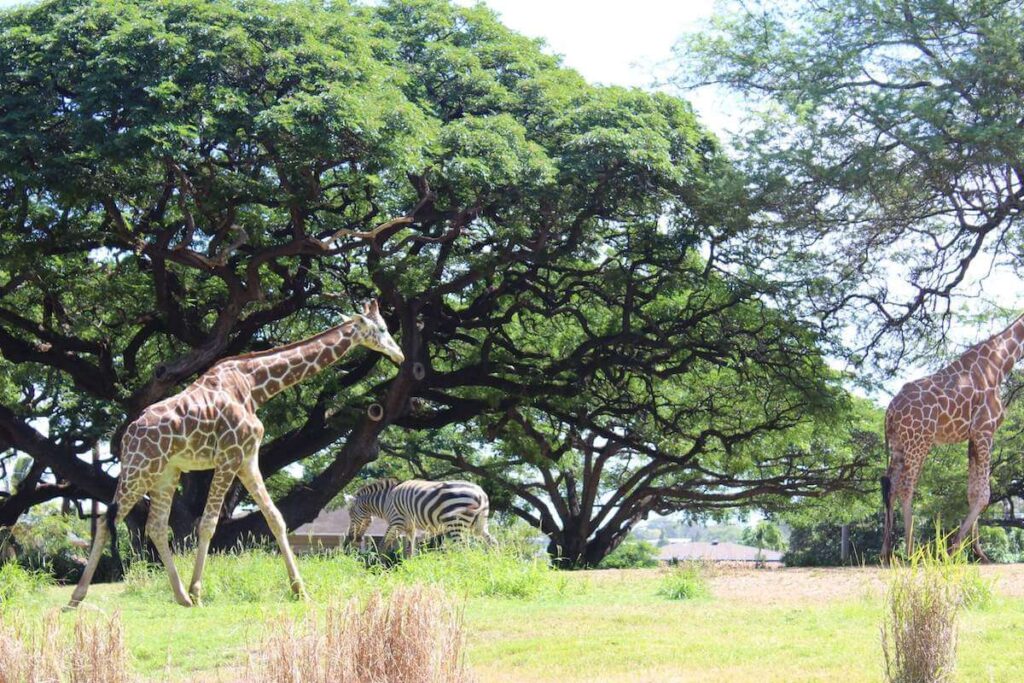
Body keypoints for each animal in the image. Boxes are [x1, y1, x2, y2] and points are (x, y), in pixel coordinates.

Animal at [67, 301, 403, 610]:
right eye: (382, 329)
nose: (399, 355)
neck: (254, 387)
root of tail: (127, 436)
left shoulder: (248, 459)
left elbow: (276, 518)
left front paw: (300, 590)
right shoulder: (228, 457)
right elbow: (207, 524)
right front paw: (199, 591)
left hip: (165, 473)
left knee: (156, 526)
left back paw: (180, 597)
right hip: (140, 468)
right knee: (107, 521)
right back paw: (77, 597)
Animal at [346, 475, 493, 557]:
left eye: (351, 514)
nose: (351, 538)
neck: (386, 500)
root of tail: (480, 493)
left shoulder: (396, 522)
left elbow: (383, 545)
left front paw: (379, 569)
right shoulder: (410, 527)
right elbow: (409, 550)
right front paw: (408, 568)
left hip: (455, 524)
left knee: (463, 548)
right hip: (479, 525)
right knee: (492, 542)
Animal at [880, 313, 1024, 565]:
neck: (999, 363)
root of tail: (890, 410)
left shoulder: (973, 437)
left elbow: (973, 492)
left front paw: (978, 553)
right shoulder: (985, 430)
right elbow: (984, 495)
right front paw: (951, 550)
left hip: (899, 444)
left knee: (891, 486)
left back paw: (886, 554)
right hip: (919, 440)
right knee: (907, 486)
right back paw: (911, 552)